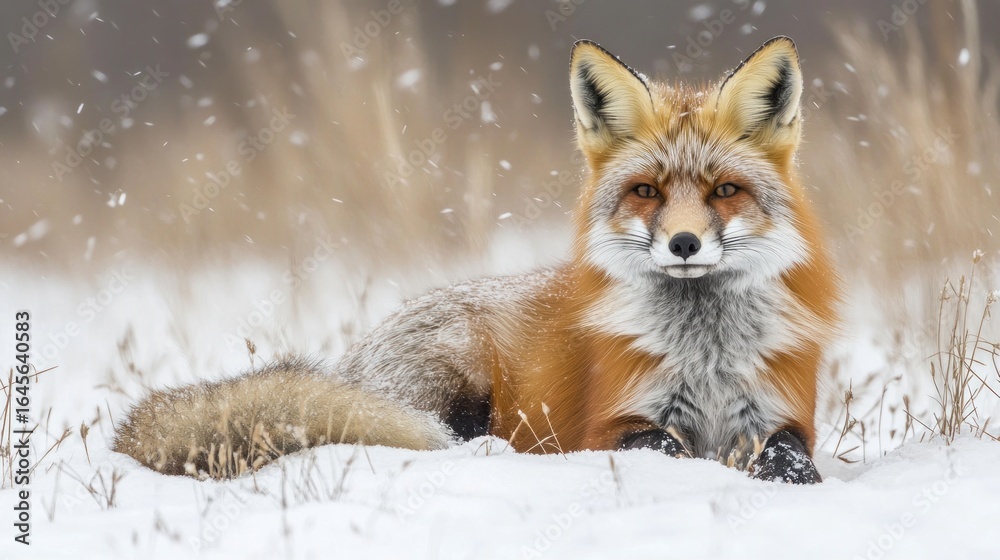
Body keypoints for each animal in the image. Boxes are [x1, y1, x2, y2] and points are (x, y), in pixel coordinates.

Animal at [115, 36, 839, 483]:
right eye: (646, 192)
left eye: (724, 191)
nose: (684, 244)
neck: (705, 355)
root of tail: (351, 361)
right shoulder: (615, 423)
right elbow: (666, 449)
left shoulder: (783, 416)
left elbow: (791, 460)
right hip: (455, 379)